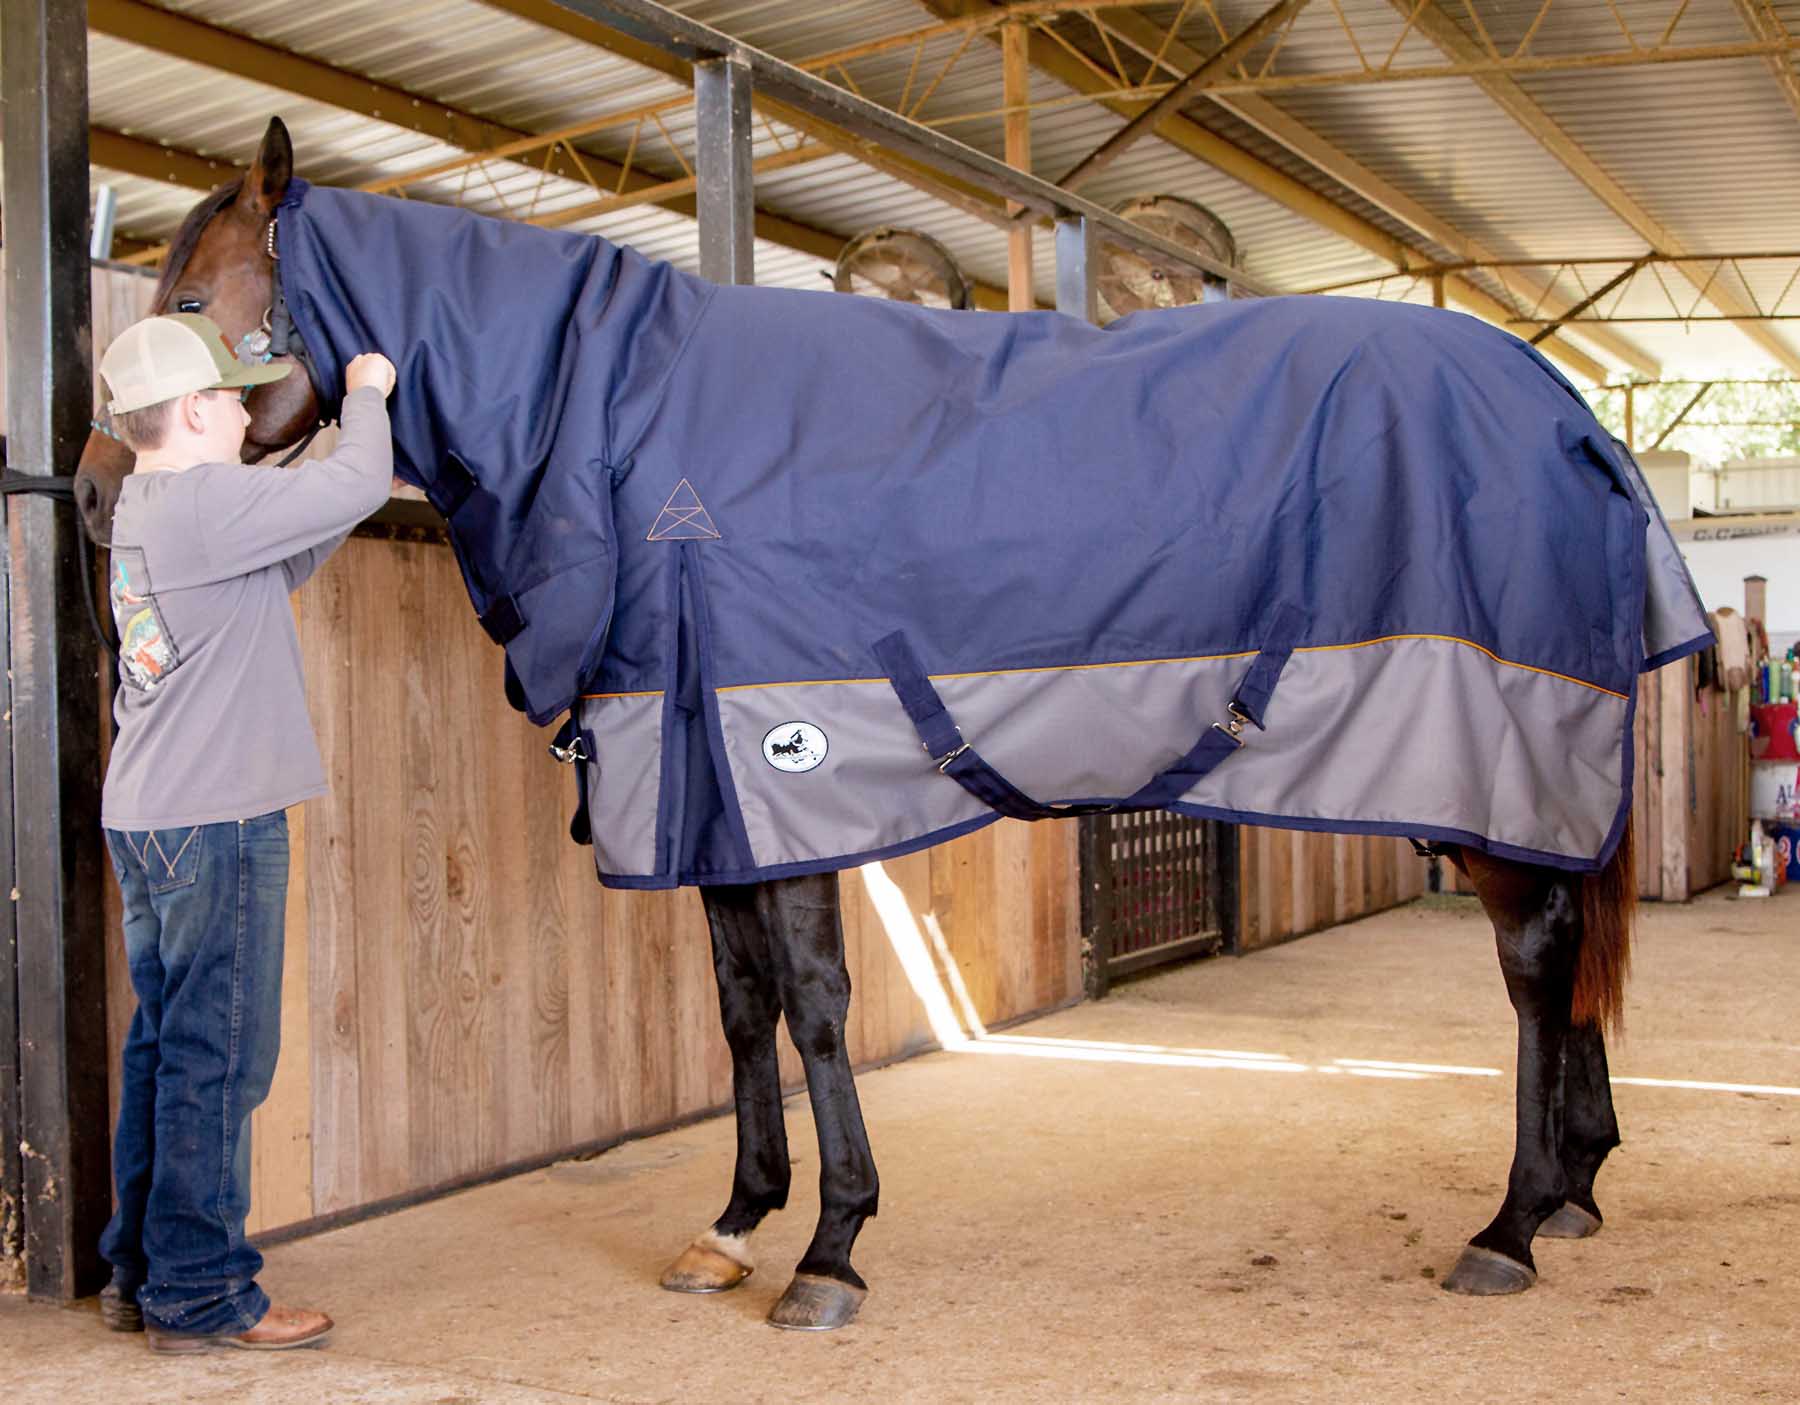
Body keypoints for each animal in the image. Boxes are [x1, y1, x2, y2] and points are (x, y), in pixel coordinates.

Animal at [75, 116, 1702, 1331]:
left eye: (187, 305)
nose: (94, 495)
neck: (627, 430)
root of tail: (1564, 411)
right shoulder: (709, 795)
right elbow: (739, 1008)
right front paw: (736, 1221)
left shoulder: (778, 780)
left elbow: (812, 1005)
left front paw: (831, 1249)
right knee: (1564, 950)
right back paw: (1576, 1189)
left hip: (1489, 762)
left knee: (1537, 961)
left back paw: (1510, 1223)